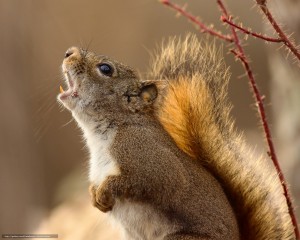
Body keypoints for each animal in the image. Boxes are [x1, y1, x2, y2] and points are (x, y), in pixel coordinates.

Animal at [57, 34, 294, 240]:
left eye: (105, 69)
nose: (68, 52)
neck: (103, 133)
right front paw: (94, 197)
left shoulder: (148, 157)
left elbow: (147, 181)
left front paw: (105, 191)